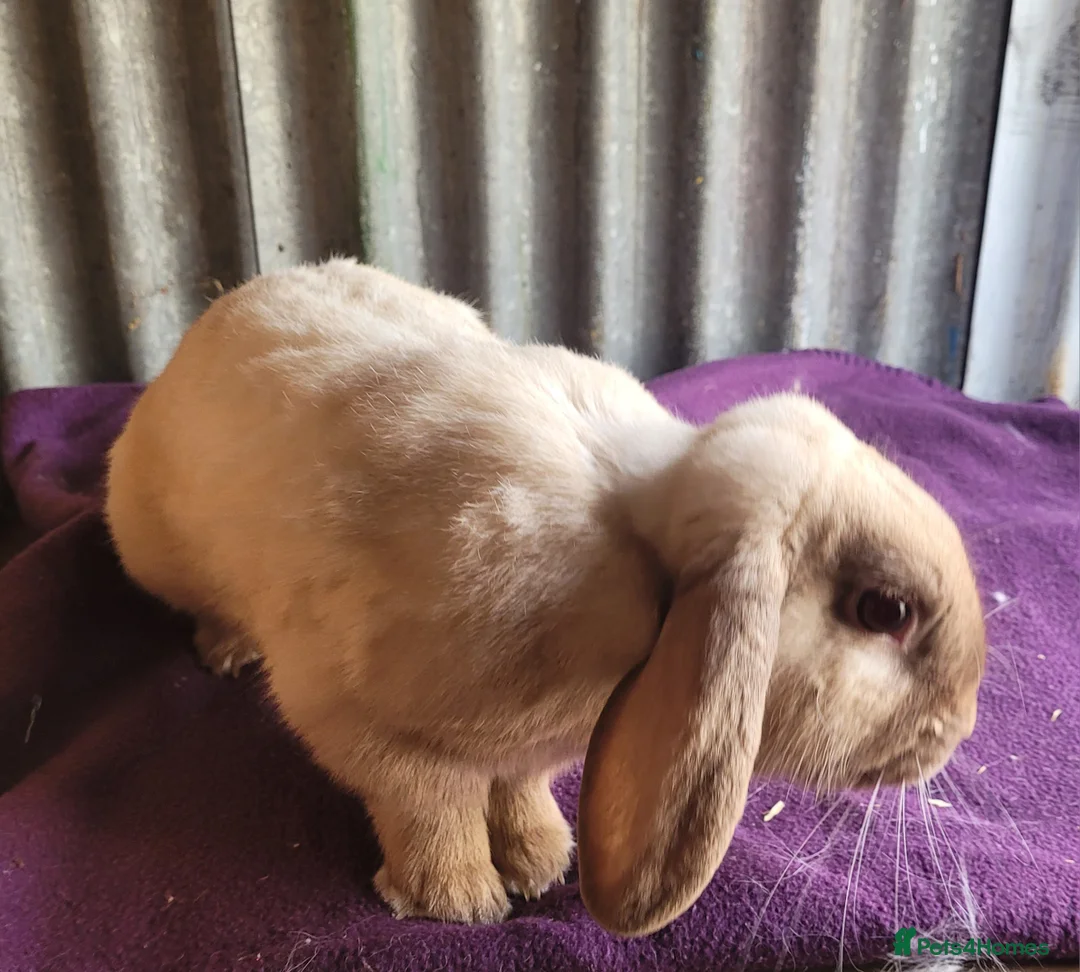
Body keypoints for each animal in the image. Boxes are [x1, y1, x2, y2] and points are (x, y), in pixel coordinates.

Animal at [103, 257, 987, 938]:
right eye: (884, 611)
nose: (959, 729)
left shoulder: (530, 750)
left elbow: (517, 788)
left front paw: (540, 859)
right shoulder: (364, 723)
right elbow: (429, 805)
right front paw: (456, 902)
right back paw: (227, 650)